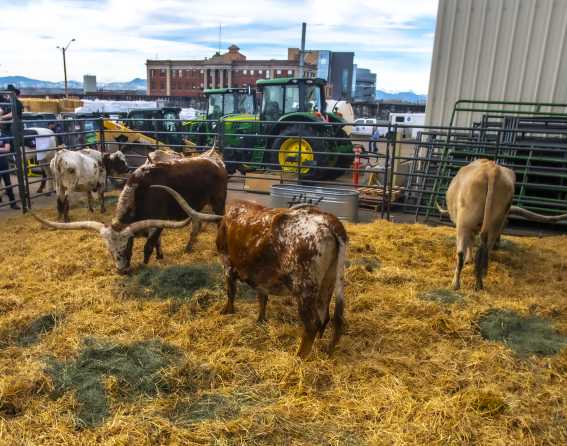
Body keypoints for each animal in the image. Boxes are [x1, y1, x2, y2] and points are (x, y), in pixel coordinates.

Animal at [156, 185, 350, 358]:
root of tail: (328, 222)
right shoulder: (262, 277)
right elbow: (262, 298)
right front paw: (260, 320)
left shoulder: (227, 264)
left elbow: (231, 292)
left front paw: (227, 311)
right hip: (328, 282)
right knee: (327, 318)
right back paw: (325, 350)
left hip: (304, 289)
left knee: (312, 324)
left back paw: (300, 357)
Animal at [440, 159, 567, 290]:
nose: (498, 244)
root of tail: (491, 169)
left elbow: (470, 243)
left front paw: (468, 259)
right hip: (494, 222)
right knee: (485, 249)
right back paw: (479, 282)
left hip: (464, 222)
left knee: (461, 253)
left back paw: (456, 284)